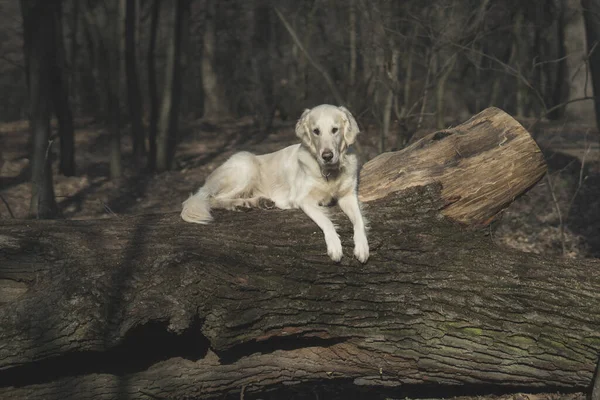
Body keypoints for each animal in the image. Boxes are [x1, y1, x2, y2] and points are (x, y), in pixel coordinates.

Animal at [182, 104, 370, 264]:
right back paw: (239, 204)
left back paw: (256, 202)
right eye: (316, 131)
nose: (327, 156)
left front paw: (362, 246)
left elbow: (359, 220)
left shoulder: (348, 196)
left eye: (334, 130)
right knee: (213, 199)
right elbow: (326, 221)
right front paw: (335, 246)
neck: (329, 172)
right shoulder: (303, 200)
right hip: (246, 163)